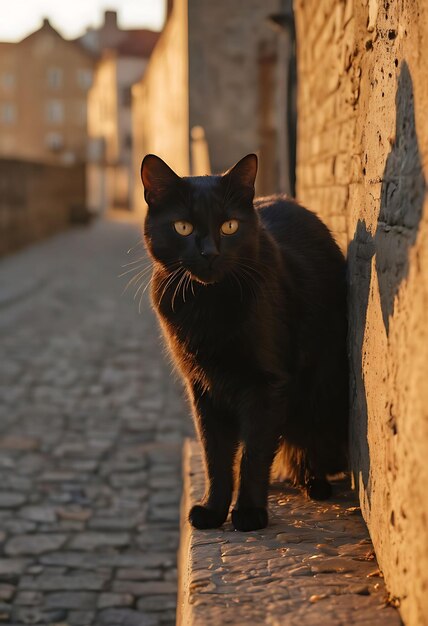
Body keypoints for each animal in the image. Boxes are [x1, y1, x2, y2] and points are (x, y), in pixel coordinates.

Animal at [140, 154, 348, 528]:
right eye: (182, 227)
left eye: (230, 227)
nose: (209, 253)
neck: (207, 303)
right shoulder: (202, 387)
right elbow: (216, 455)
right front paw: (212, 510)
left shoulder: (266, 385)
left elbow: (255, 452)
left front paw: (249, 513)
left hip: (321, 392)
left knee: (306, 445)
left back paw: (313, 483)